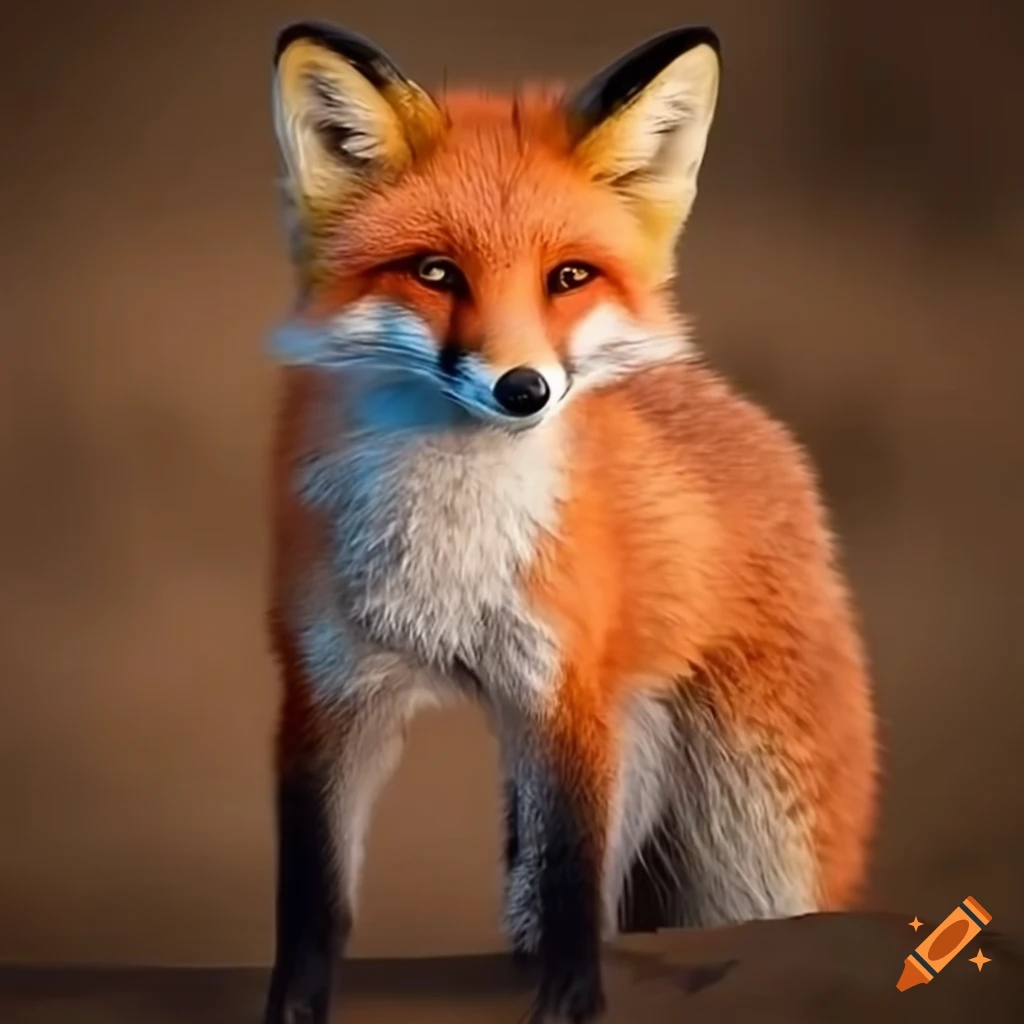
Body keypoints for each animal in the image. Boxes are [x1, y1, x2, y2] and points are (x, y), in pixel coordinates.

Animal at [262, 19, 879, 1024]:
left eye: (569, 277)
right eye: (435, 273)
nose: (524, 389)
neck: (447, 559)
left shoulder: (564, 692)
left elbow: (572, 879)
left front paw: (571, 1001)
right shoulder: (330, 691)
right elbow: (314, 894)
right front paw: (296, 1006)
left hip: (753, 847)